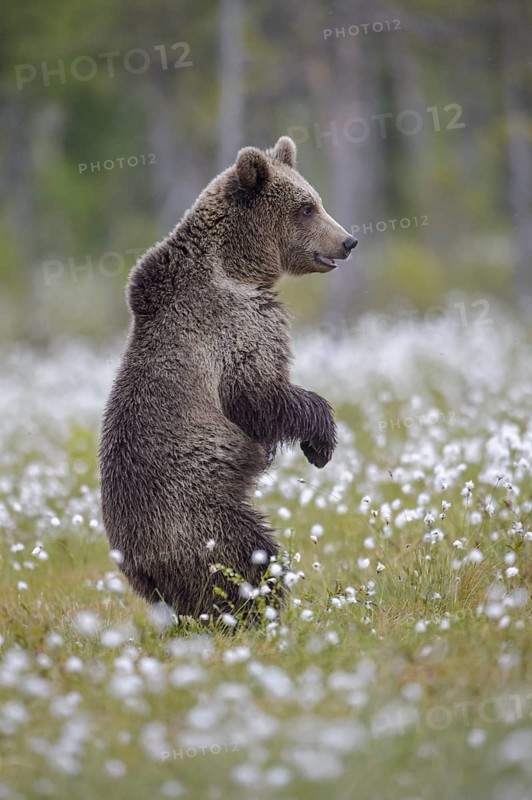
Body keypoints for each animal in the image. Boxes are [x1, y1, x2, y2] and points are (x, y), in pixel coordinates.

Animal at [99, 135, 357, 620]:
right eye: (306, 207)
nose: (349, 240)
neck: (239, 266)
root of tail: (140, 566)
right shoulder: (233, 328)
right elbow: (257, 394)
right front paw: (320, 440)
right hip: (198, 512)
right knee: (247, 554)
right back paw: (264, 606)